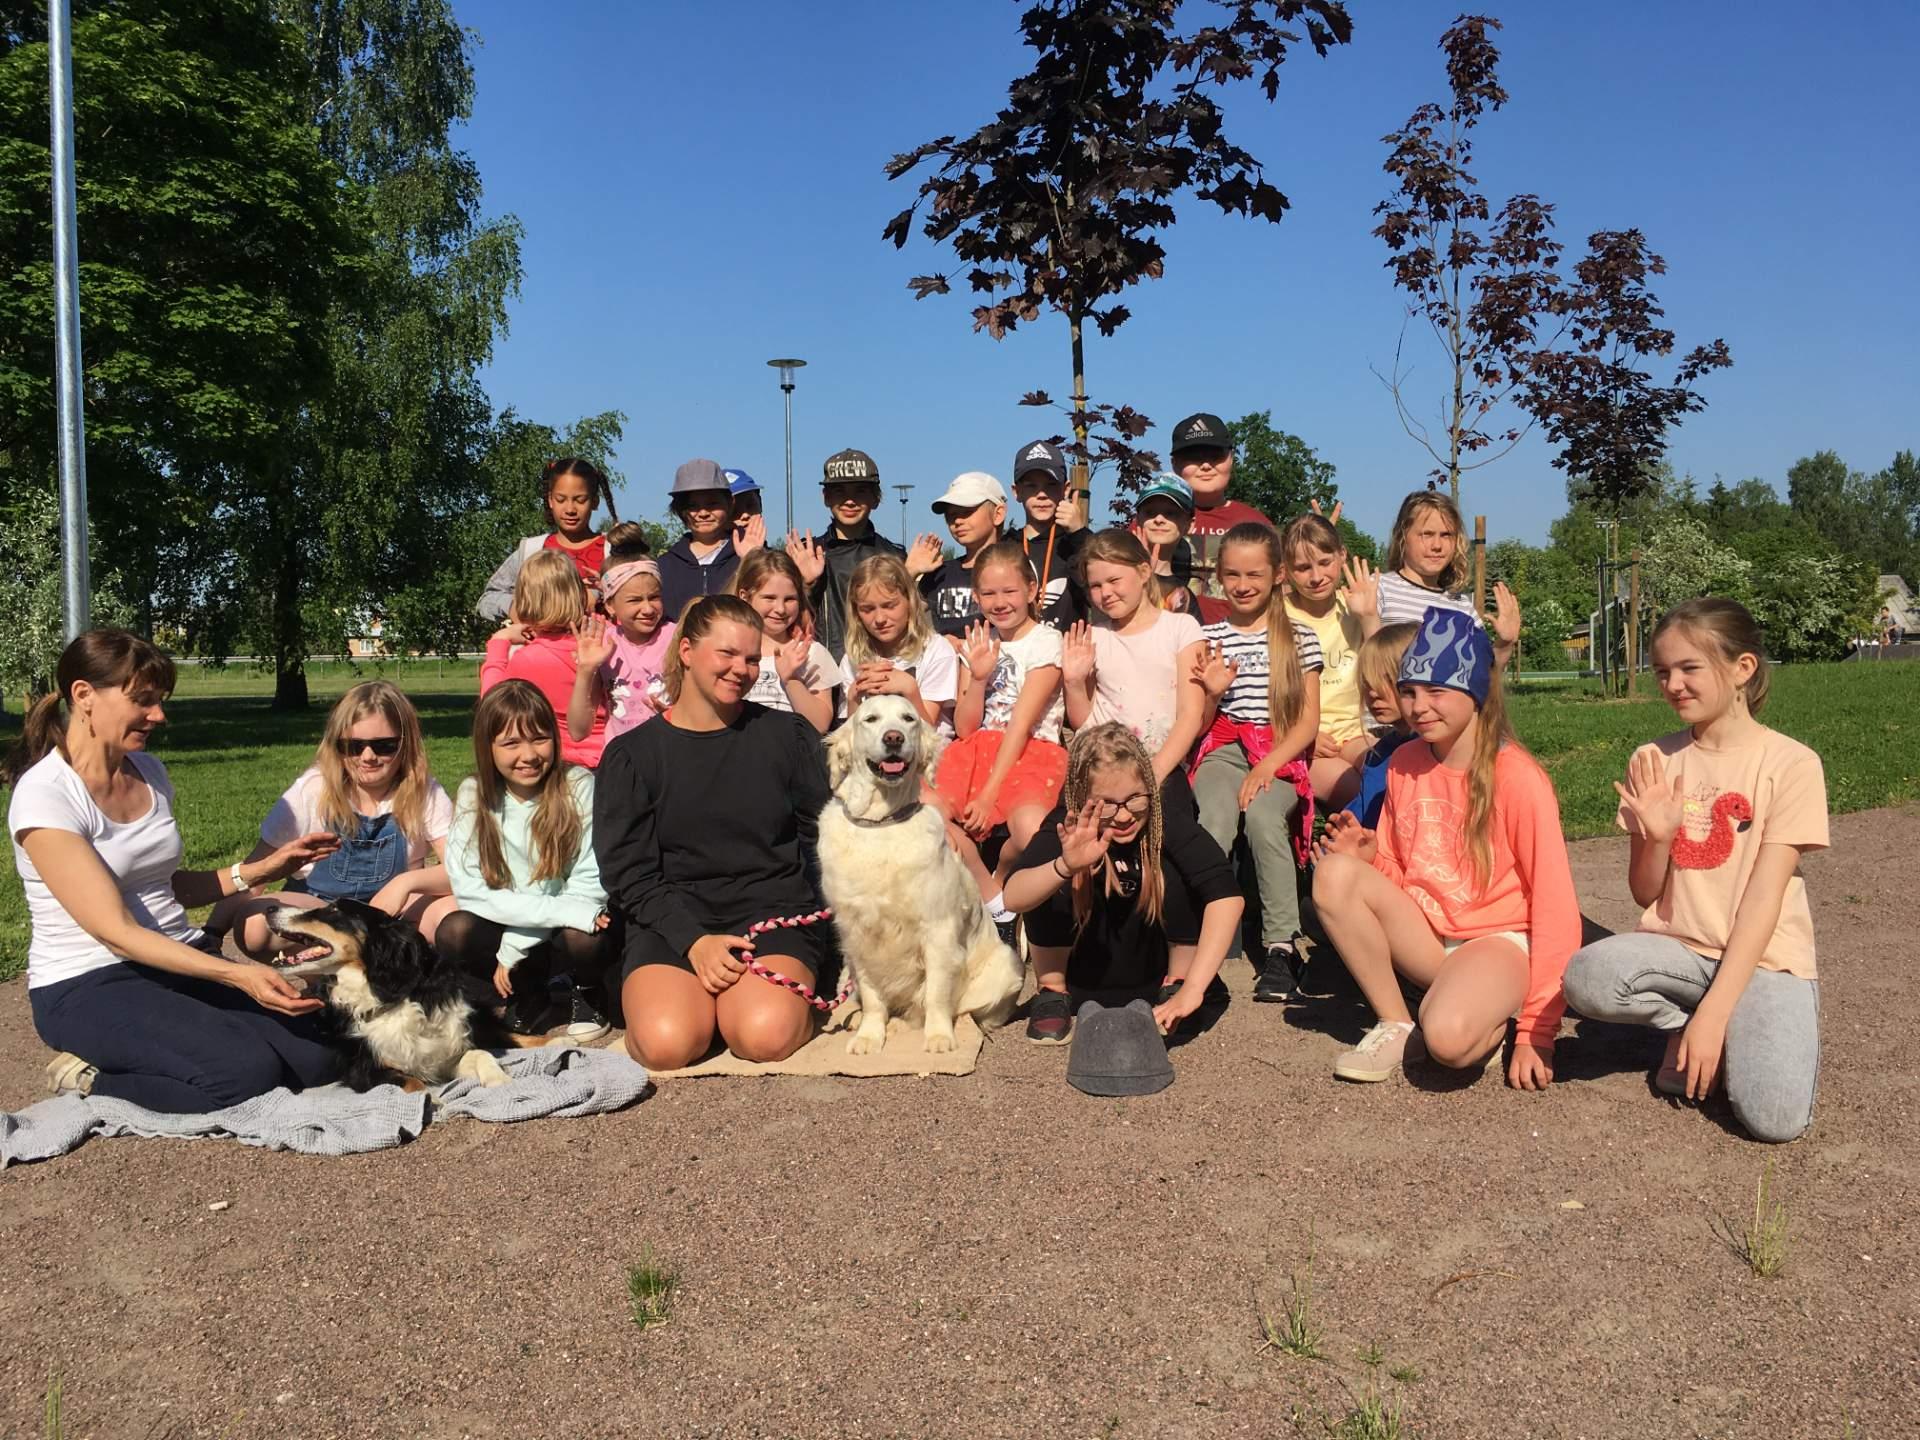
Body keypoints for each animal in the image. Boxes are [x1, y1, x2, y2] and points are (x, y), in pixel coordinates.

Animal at [267, 899, 510, 1091]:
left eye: (334, 909)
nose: (269, 908)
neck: (385, 995)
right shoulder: (363, 1070)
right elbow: (414, 1084)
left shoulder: (448, 1052)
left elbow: (480, 1054)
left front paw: (498, 1080)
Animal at [819, 694, 1022, 1054]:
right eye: (870, 719)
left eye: (908, 718)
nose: (894, 738)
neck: (880, 822)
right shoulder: (857, 934)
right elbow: (872, 995)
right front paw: (869, 1036)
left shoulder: (938, 928)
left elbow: (938, 993)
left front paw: (939, 1037)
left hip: (1006, 969)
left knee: (962, 1009)